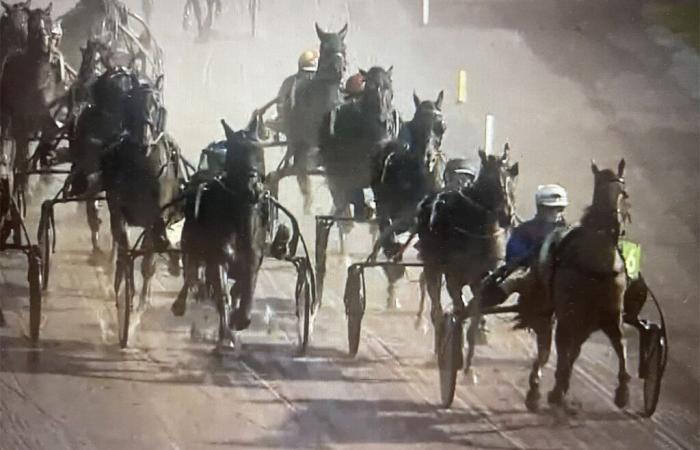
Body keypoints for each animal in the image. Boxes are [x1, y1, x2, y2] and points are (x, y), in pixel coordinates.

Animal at [171, 118, 266, 350]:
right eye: (236, 154)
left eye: (259, 150)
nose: (253, 189)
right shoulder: (218, 258)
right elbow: (222, 293)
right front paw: (226, 336)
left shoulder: (252, 259)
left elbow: (246, 287)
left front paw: (240, 319)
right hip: (191, 240)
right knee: (191, 270)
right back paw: (181, 302)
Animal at [370, 91, 446, 310]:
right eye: (415, 125)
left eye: (441, 126)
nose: (428, 159)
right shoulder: (388, 205)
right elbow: (389, 228)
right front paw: (392, 255)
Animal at [416, 147, 516, 358]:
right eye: (490, 181)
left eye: (511, 177)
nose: (508, 215)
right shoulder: (453, 276)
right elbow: (458, 307)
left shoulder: (484, 275)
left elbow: (477, 310)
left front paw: (477, 333)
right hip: (432, 267)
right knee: (436, 306)